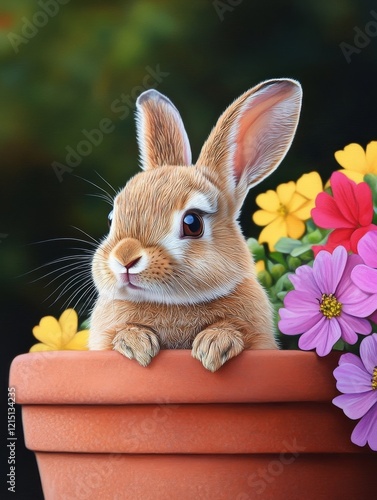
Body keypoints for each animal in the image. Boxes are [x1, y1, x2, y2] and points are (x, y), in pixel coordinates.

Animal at [89, 79, 302, 372]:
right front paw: (137, 344)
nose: (125, 258)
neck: (173, 304)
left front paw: (213, 347)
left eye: (192, 223)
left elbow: (232, 329)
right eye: (112, 218)